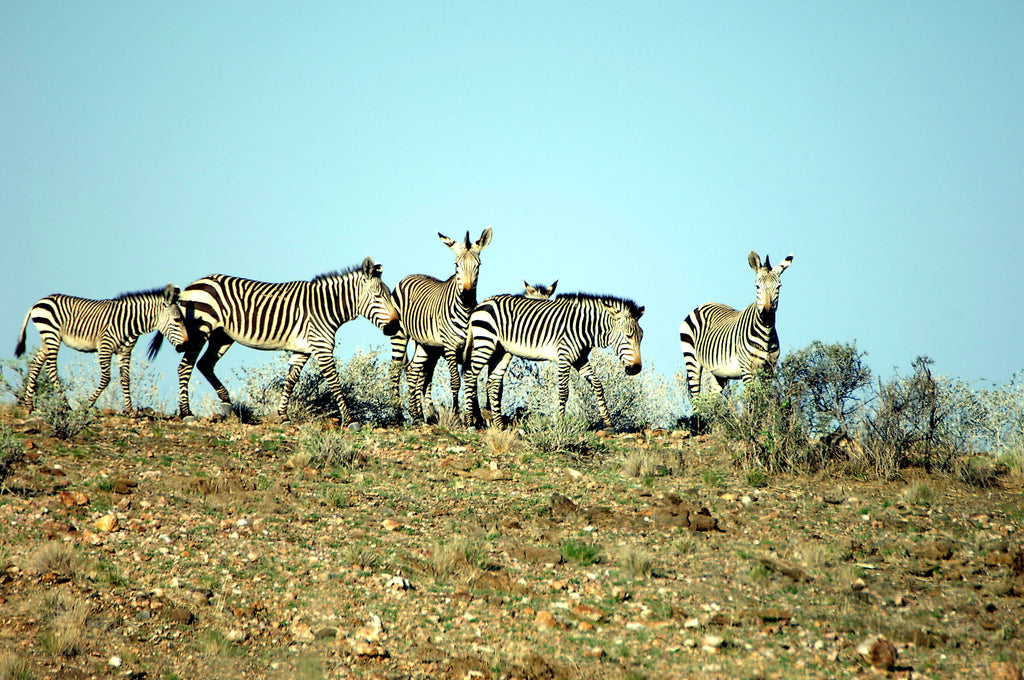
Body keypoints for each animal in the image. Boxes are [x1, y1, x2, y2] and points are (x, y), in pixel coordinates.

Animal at [14, 283, 188, 414]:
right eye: (177, 320)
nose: (185, 345)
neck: (130, 323)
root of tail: (39, 302)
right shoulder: (105, 346)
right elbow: (106, 378)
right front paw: (87, 405)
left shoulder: (125, 351)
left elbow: (126, 378)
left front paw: (130, 410)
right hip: (52, 335)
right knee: (50, 368)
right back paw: (65, 405)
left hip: (46, 339)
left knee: (36, 363)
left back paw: (29, 404)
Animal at [175, 257, 400, 423]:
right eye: (378, 297)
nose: (396, 327)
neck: (325, 308)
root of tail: (193, 284)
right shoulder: (322, 347)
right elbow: (335, 381)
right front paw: (350, 420)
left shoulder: (303, 349)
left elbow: (290, 380)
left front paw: (283, 416)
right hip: (200, 330)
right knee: (185, 366)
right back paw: (187, 414)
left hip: (222, 336)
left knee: (205, 364)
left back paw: (226, 403)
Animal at [389, 228, 492, 422]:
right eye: (456, 265)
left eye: (478, 265)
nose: (467, 297)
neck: (465, 312)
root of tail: (408, 277)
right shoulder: (450, 347)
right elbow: (456, 381)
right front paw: (457, 416)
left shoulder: (471, 348)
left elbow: (471, 380)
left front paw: (475, 418)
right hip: (399, 335)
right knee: (395, 371)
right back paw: (398, 415)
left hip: (426, 345)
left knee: (413, 371)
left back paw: (417, 415)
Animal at [463, 292, 644, 430]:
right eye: (628, 336)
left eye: (641, 337)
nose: (636, 369)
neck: (585, 328)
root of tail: (483, 302)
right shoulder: (565, 357)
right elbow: (564, 392)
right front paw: (561, 423)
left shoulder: (580, 359)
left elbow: (597, 385)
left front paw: (608, 423)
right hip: (485, 343)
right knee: (470, 375)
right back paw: (469, 422)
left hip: (502, 351)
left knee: (493, 383)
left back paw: (500, 425)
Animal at [679, 250, 793, 399]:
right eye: (757, 286)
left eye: (779, 287)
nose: (767, 317)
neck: (766, 334)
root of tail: (702, 305)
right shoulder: (746, 369)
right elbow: (752, 400)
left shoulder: (769, 369)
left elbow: (766, 399)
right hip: (692, 360)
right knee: (696, 398)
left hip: (718, 372)